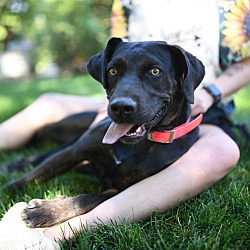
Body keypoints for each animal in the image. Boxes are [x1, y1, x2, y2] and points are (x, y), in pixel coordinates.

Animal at [2, 38, 204, 228]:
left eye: (155, 71)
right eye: (112, 71)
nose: (120, 107)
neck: (132, 146)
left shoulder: (121, 188)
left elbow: (87, 198)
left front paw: (48, 210)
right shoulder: (75, 151)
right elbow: (34, 175)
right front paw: (9, 188)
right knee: (44, 151)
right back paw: (17, 164)